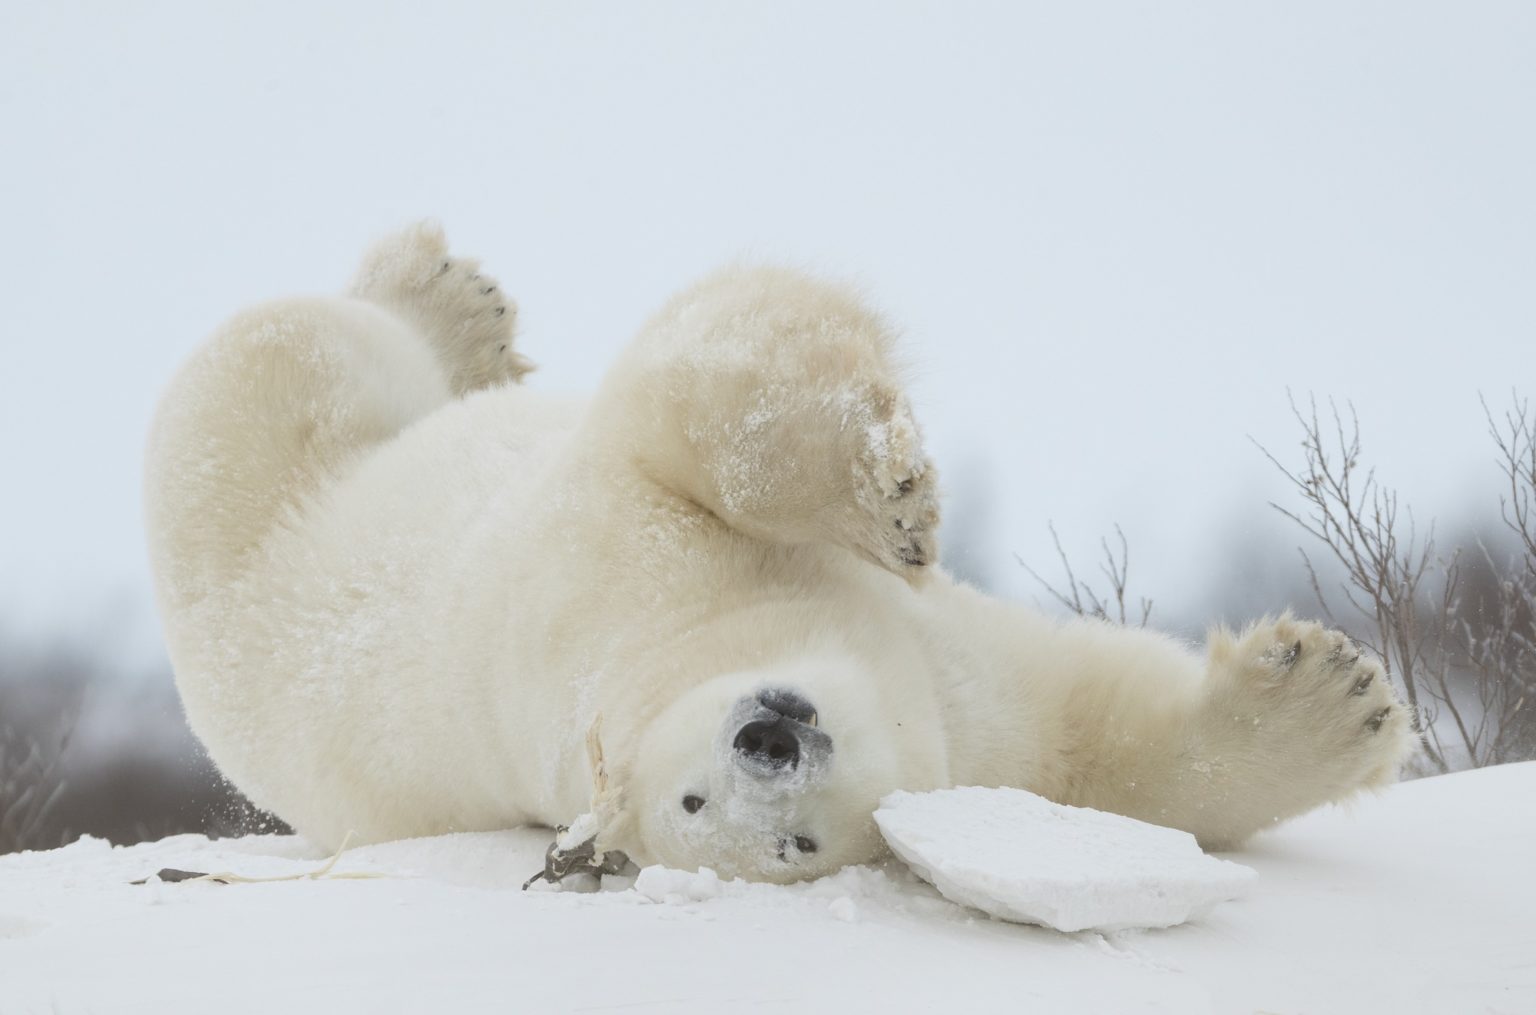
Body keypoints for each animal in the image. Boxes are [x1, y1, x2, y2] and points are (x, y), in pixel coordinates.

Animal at [144, 221, 1413, 878]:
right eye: (705, 809)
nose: (771, 736)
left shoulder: (615, 551)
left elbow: (677, 408)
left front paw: (892, 497)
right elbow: (1104, 746)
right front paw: (1338, 704)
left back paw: (451, 306)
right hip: (237, 470)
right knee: (294, 347)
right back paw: (441, 299)